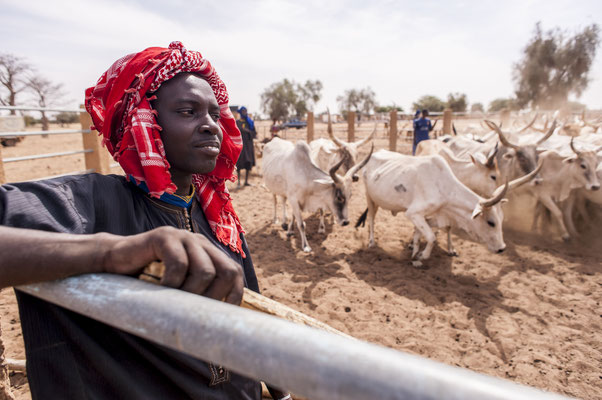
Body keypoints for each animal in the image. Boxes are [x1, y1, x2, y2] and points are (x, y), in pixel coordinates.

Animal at [356, 149, 540, 262]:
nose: (502, 248)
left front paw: (415, 250)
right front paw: (421, 255)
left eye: (501, 220)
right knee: (371, 218)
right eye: (491, 222)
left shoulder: (437, 216)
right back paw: (371, 242)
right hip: (369, 197)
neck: (445, 187)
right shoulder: (413, 213)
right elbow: (431, 237)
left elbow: (425, 232)